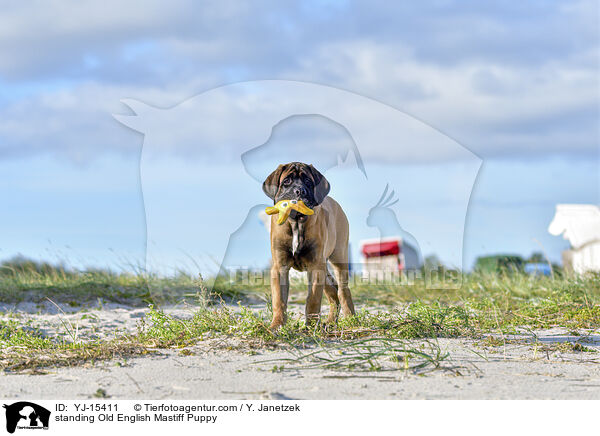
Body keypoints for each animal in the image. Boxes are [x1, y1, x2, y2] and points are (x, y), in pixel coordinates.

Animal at [264, 162, 356, 328]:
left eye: (307, 181)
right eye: (286, 181)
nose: (299, 191)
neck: (296, 223)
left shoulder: (315, 266)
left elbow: (313, 299)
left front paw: (311, 326)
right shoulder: (280, 267)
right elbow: (279, 300)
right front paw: (277, 325)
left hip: (338, 257)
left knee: (342, 289)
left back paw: (350, 318)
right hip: (323, 266)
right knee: (333, 290)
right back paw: (331, 321)